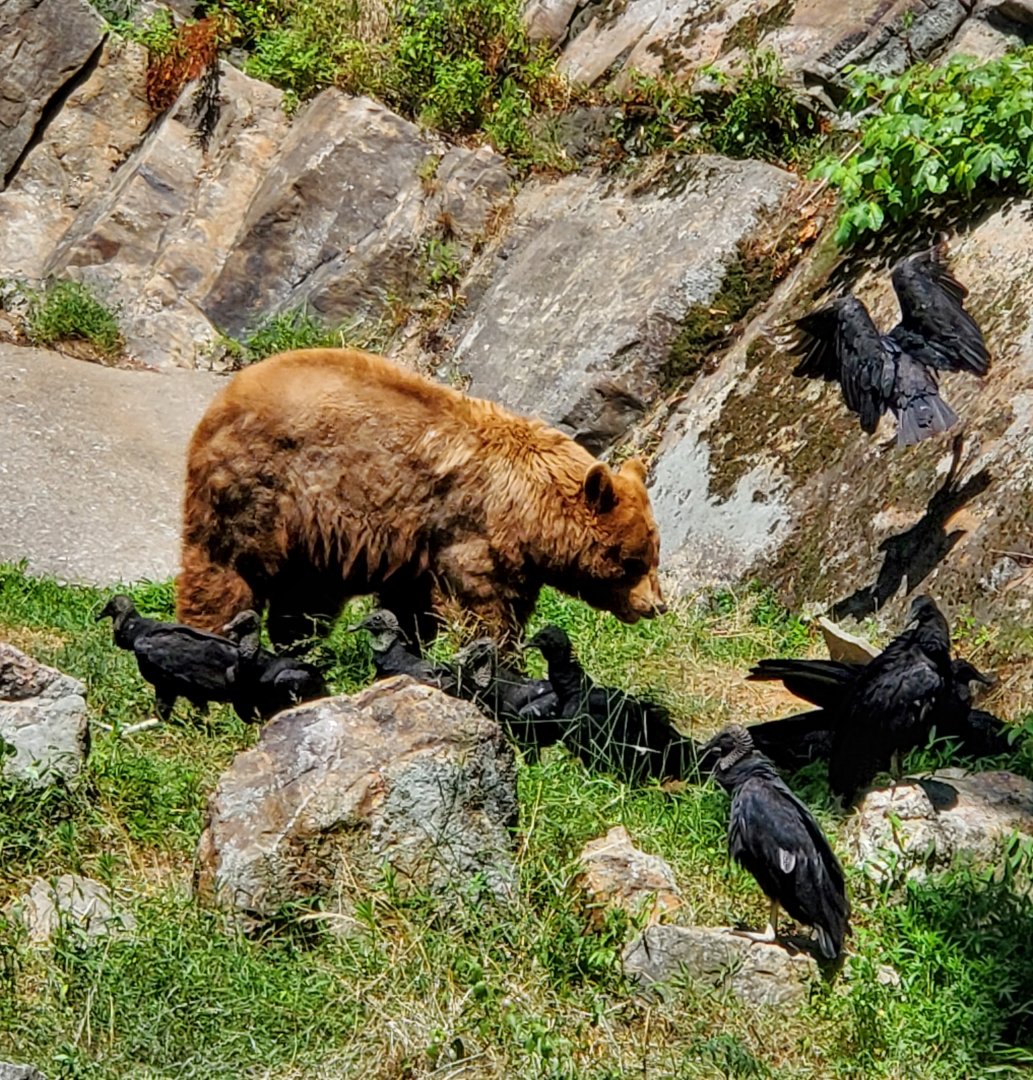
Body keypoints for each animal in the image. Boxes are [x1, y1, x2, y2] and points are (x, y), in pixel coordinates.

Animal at [176, 347, 666, 647]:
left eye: (654, 555)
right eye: (632, 561)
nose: (656, 606)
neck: (528, 514)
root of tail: (222, 397)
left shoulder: (416, 548)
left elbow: (413, 607)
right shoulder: (469, 532)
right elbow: (482, 606)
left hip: (311, 541)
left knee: (303, 598)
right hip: (261, 488)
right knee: (226, 567)